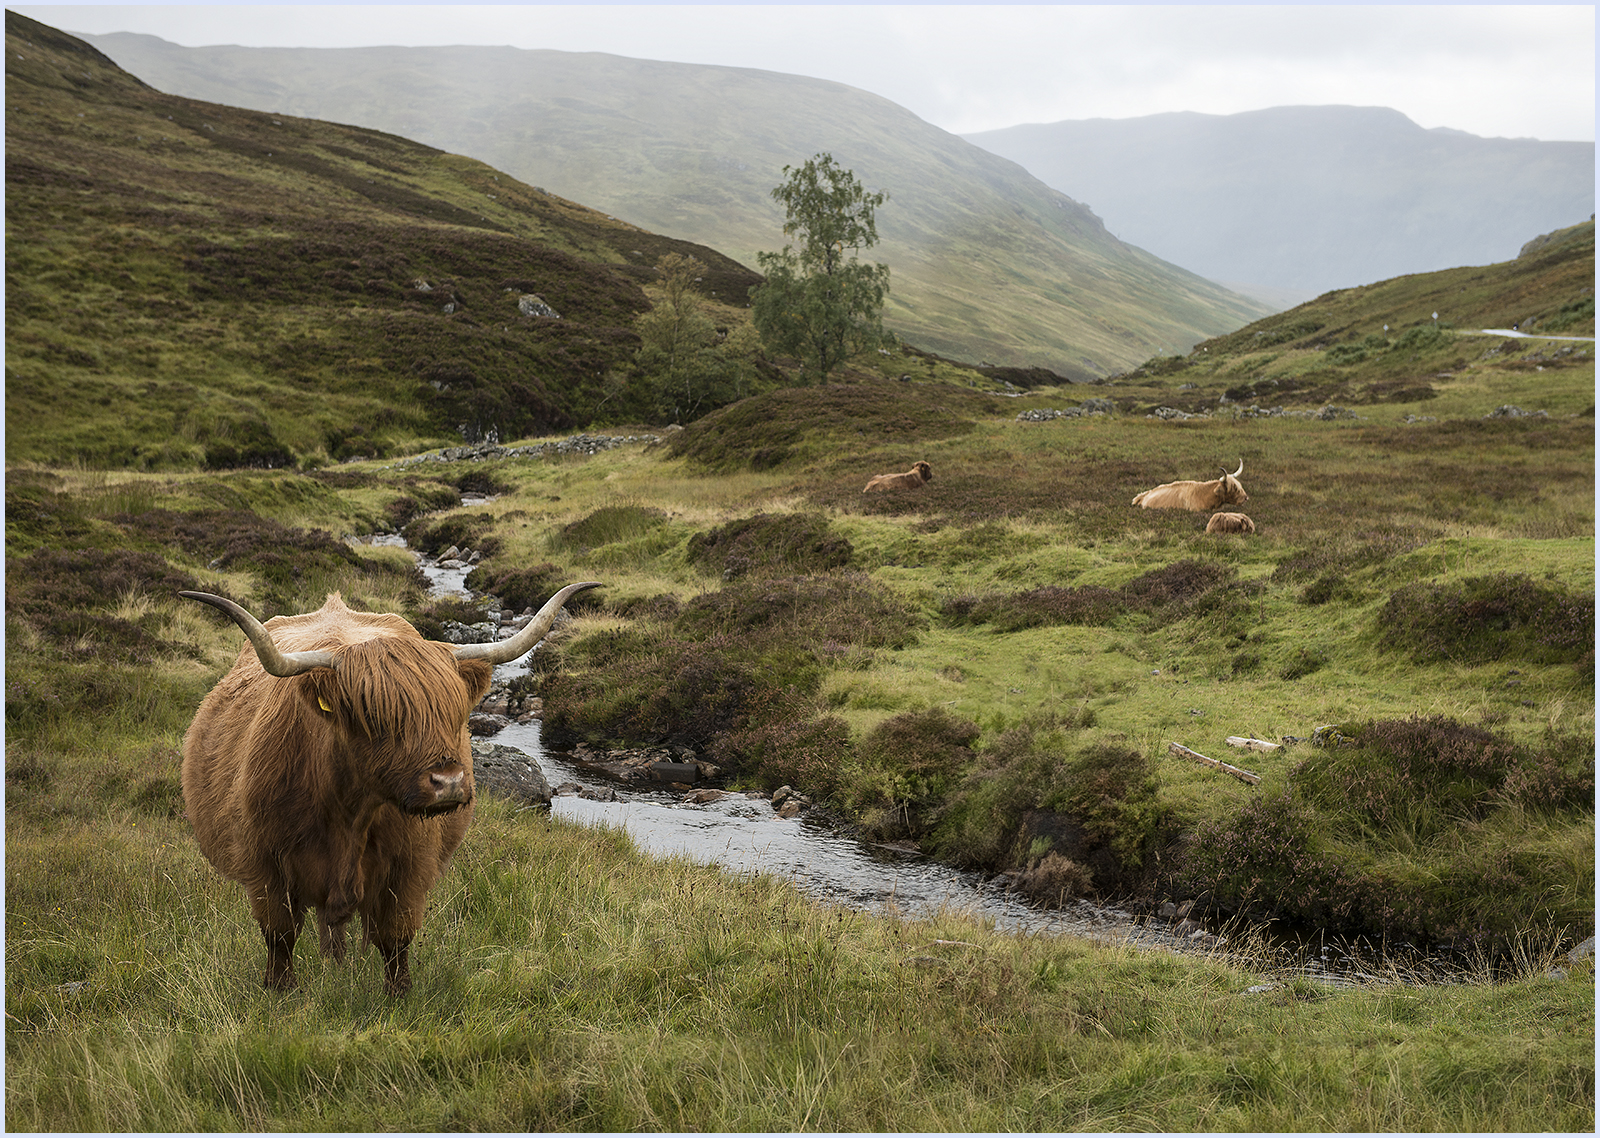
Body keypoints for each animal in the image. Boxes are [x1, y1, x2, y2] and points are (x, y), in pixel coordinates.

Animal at [176, 582, 601, 992]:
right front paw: (279, 989)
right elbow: (279, 935)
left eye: (452, 713)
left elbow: (396, 937)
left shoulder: (410, 868)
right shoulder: (264, 865)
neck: (349, 809)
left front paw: (399, 995)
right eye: (374, 716)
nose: (448, 783)